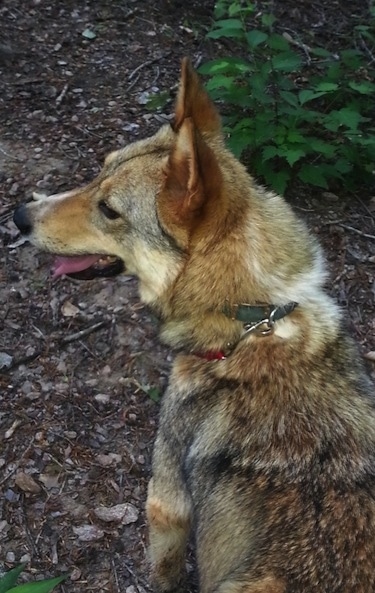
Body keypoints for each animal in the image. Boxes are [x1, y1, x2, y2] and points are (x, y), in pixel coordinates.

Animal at [13, 59, 375, 592]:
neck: (251, 321)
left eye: (110, 210)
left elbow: (163, 569)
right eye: (99, 170)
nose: (19, 216)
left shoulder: (166, 501)